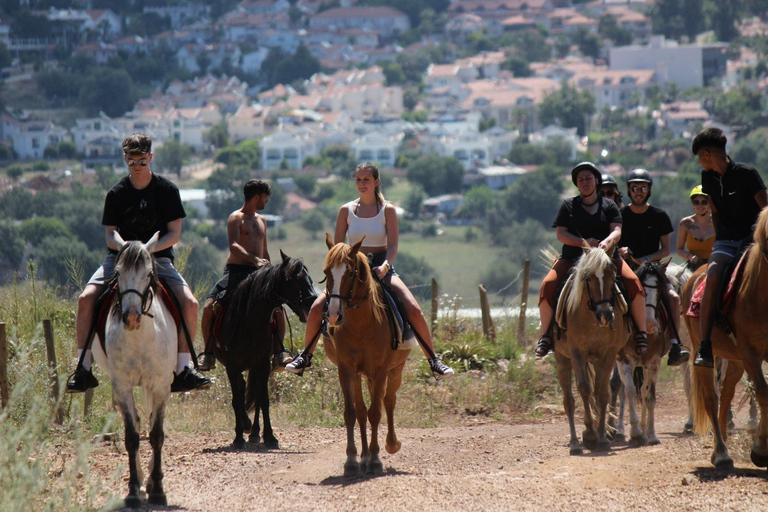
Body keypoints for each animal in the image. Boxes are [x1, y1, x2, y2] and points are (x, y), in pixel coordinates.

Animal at [91, 232, 175, 508]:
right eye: (117, 273)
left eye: (149, 273)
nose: (131, 317)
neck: (139, 337)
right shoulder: (123, 386)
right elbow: (132, 436)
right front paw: (133, 492)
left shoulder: (160, 386)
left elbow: (157, 434)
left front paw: (158, 490)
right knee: (138, 424)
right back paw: (140, 480)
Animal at [214, 251, 317, 448]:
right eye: (296, 280)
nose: (313, 303)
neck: (249, 323)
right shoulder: (231, 367)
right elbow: (237, 400)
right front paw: (238, 437)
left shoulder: (262, 364)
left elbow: (264, 400)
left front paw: (269, 437)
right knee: (242, 392)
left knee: (256, 396)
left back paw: (254, 432)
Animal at [321, 234, 410, 477]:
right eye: (326, 272)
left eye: (351, 273)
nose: (333, 315)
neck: (361, 325)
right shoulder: (346, 370)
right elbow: (352, 413)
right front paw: (352, 460)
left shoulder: (380, 371)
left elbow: (376, 412)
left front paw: (376, 459)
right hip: (360, 374)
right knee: (362, 411)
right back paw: (363, 457)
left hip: (395, 370)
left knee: (388, 401)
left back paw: (391, 444)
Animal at [553, 242, 627, 455]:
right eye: (588, 277)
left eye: (613, 275)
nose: (605, 315)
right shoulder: (577, 352)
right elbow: (585, 389)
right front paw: (590, 434)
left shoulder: (608, 354)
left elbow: (602, 392)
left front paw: (601, 437)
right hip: (562, 358)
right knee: (569, 399)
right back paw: (575, 443)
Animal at [686, 207, 768, 470]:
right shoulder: (750, 352)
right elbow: (763, 392)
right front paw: (760, 450)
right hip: (703, 354)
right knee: (712, 399)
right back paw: (721, 453)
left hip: (735, 360)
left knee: (726, 395)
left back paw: (719, 449)